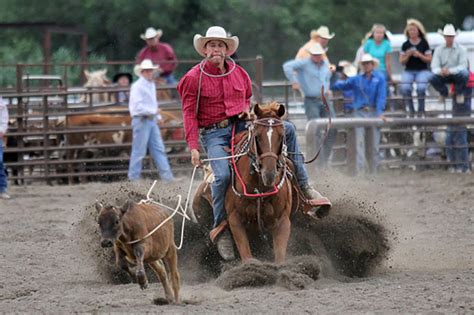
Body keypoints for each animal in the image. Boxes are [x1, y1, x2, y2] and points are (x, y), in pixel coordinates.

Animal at [226, 102, 292, 264]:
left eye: (282, 136)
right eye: (257, 136)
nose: (269, 175)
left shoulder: (282, 222)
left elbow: (280, 258)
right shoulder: (234, 220)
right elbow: (247, 257)